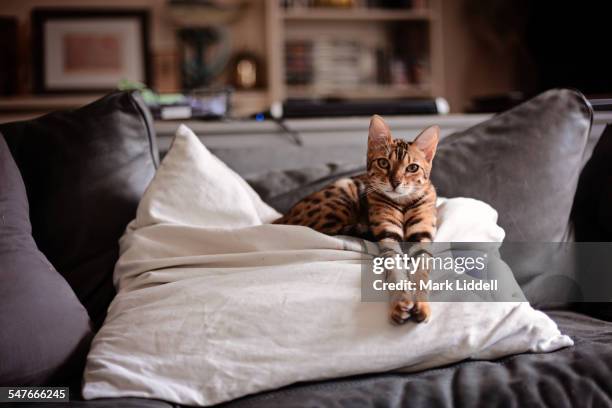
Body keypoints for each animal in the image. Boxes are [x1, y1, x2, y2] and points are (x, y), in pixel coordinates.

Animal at [274, 115, 440, 326]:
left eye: (412, 168)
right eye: (383, 163)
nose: (395, 183)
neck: (402, 203)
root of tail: (282, 217)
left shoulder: (422, 235)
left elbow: (421, 274)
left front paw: (421, 304)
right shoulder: (388, 235)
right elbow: (395, 271)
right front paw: (400, 303)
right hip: (342, 193)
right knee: (327, 229)